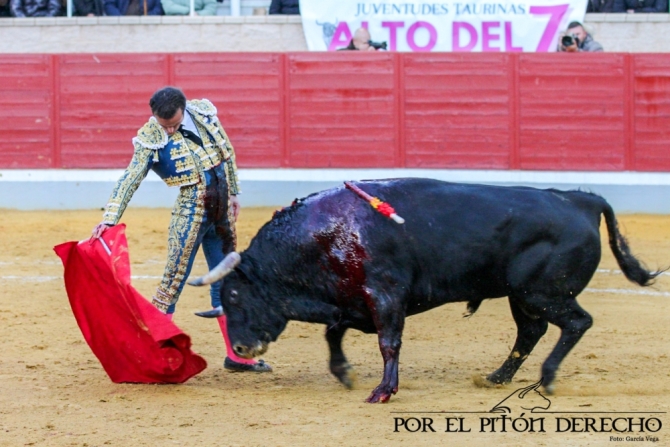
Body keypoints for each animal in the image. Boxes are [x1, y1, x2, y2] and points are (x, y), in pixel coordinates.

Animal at [192, 179, 664, 406]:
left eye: (234, 298)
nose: (242, 348)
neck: (320, 237)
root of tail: (579, 200)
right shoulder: (349, 301)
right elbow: (333, 335)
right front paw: (344, 373)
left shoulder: (385, 296)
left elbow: (388, 343)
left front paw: (383, 391)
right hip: (522, 296)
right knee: (530, 333)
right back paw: (497, 377)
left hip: (543, 294)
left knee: (576, 323)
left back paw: (546, 378)